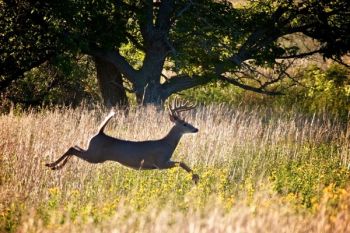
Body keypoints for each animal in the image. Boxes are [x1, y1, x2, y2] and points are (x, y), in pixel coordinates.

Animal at [45, 100, 200, 184]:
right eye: (185, 124)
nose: (196, 129)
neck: (167, 144)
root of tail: (100, 132)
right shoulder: (160, 162)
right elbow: (181, 163)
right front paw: (195, 178)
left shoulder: (163, 162)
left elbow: (182, 162)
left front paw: (195, 177)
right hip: (95, 157)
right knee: (72, 149)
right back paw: (52, 165)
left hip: (92, 152)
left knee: (74, 146)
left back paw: (54, 166)